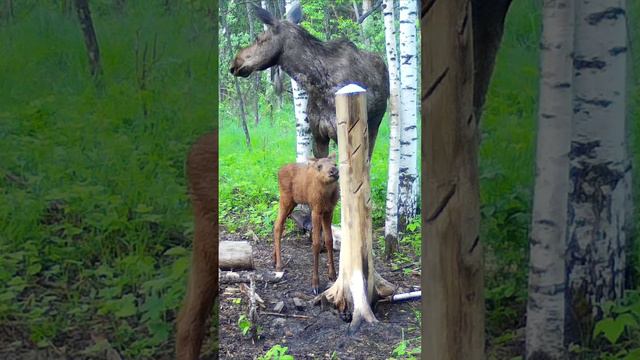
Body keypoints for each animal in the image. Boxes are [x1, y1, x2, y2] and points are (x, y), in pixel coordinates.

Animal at [230, 2, 390, 158]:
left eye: (259, 39)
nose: (235, 63)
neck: (317, 84)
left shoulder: (342, 133)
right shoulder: (318, 136)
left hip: (372, 126)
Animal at [274, 153, 340, 294]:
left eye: (335, 164)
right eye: (319, 166)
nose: (334, 171)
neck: (327, 196)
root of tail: (278, 170)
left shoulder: (329, 211)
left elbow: (329, 240)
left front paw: (332, 274)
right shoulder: (316, 210)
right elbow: (316, 243)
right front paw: (315, 284)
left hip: (292, 203)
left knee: (277, 224)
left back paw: (274, 259)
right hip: (285, 199)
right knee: (277, 226)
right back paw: (279, 265)